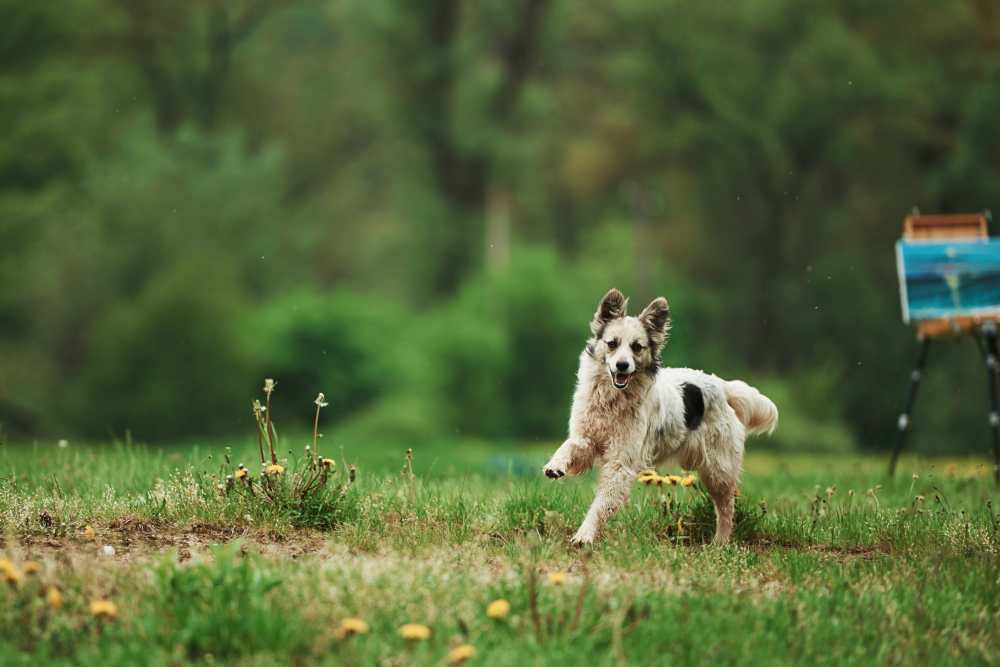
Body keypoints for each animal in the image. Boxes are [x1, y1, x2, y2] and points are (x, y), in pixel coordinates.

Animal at [544, 290, 776, 544]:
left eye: (637, 347)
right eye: (612, 343)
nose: (622, 365)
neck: (613, 400)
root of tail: (721, 385)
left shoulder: (621, 463)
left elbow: (602, 503)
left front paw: (585, 534)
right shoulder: (586, 438)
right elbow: (569, 446)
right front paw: (555, 466)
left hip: (719, 469)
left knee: (726, 508)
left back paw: (720, 543)